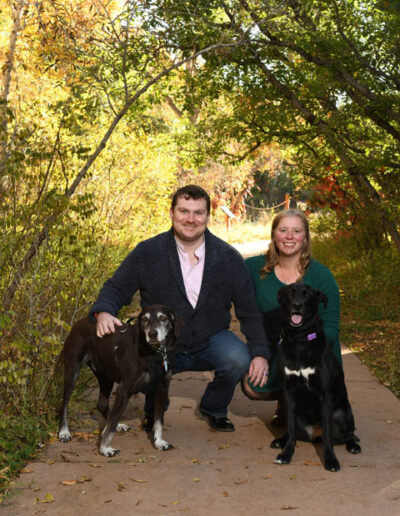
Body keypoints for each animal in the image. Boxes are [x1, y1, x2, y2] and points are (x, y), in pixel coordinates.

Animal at [57, 302, 180, 456]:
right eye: (144, 319)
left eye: (163, 318)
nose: (152, 334)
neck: (154, 354)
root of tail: (79, 322)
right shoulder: (124, 389)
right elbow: (112, 424)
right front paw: (105, 449)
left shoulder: (162, 388)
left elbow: (159, 420)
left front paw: (159, 442)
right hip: (72, 372)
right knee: (64, 403)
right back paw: (64, 432)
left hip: (106, 377)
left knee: (102, 405)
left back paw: (117, 426)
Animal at [270, 282, 360, 472]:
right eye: (290, 294)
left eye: (307, 295)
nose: (297, 305)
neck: (299, 340)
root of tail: (313, 436)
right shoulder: (289, 393)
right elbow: (290, 430)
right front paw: (286, 454)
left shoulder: (325, 395)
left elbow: (327, 435)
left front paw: (331, 460)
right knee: (293, 431)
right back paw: (280, 440)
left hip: (342, 413)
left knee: (348, 434)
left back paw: (353, 445)